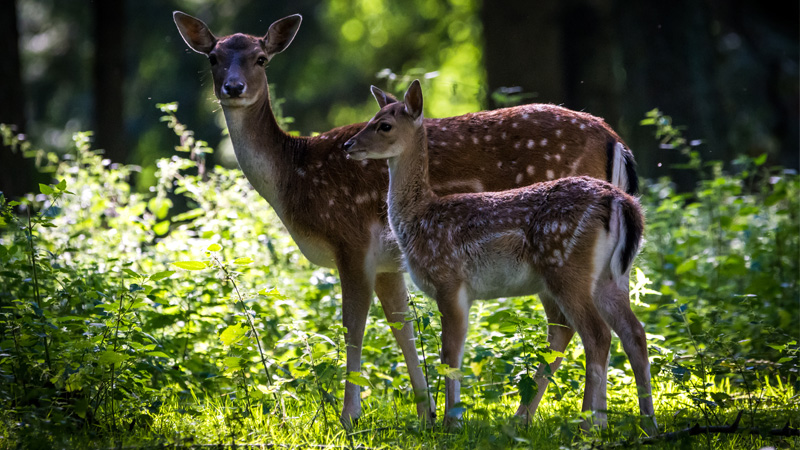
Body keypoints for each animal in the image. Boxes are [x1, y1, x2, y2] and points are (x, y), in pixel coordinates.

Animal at [344, 81, 656, 432]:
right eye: (372, 117)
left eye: (384, 125)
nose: (348, 145)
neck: (419, 216)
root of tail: (622, 202)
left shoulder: (449, 280)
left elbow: (450, 355)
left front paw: (452, 423)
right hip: (613, 275)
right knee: (633, 333)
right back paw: (646, 423)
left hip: (565, 267)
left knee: (597, 335)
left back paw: (591, 425)